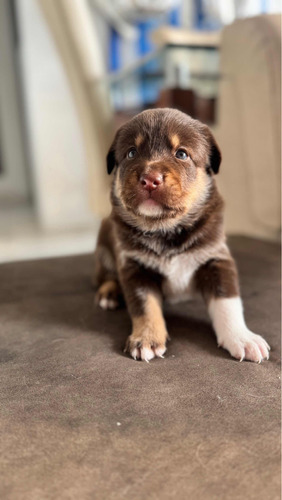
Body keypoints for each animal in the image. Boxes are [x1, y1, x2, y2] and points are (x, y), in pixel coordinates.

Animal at [93, 107, 270, 362]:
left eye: (182, 154)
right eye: (131, 153)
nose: (150, 179)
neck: (166, 229)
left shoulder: (216, 259)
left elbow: (227, 302)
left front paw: (242, 338)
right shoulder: (134, 267)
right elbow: (145, 306)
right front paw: (147, 338)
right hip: (104, 246)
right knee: (104, 275)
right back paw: (108, 292)